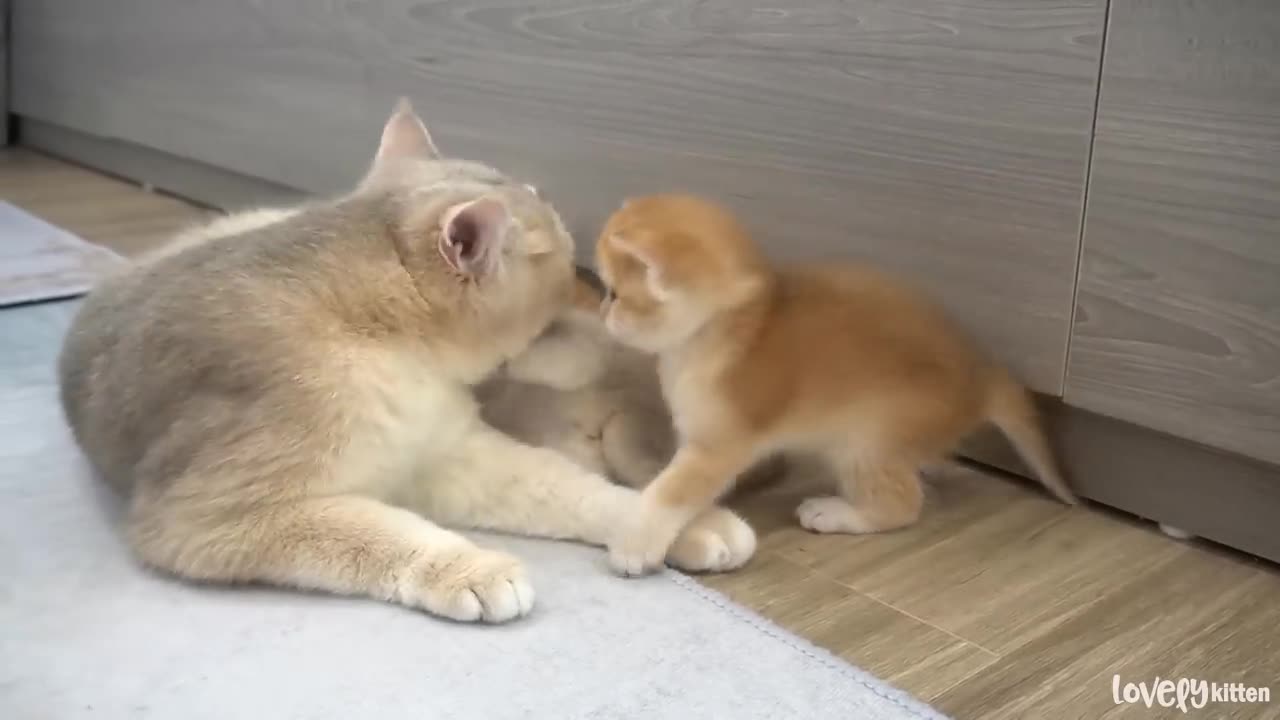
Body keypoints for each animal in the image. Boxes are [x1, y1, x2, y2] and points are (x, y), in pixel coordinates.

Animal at [60, 101, 752, 622]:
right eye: (554, 263)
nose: (589, 284)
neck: (386, 345)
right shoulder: (211, 517)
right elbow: (376, 532)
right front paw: (468, 567)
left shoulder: (452, 454)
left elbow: (571, 487)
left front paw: (674, 522)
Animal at [593, 192, 1075, 571]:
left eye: (614, 293)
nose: (600, 311)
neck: (723, 327)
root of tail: (983, 372)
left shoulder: (718, 446)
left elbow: (670, 493)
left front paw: (636, 543)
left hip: (863, 443)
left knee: (903, 506)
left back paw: (836, 513)